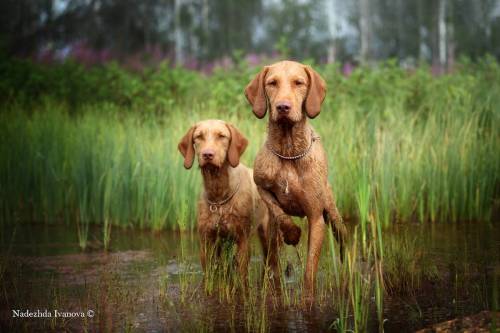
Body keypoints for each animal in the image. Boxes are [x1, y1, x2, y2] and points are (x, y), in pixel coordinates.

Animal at [179, 120, 276, 286]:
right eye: (199, 137)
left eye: (222, 136)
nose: (207, 154)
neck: (218, 194)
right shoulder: (207, 241)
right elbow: (209, 277)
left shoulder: (242, 240)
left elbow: (242, 276)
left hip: (269, 234)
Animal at [244, 61, 346, 296]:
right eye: (272, 83)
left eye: (299, 83)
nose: (283, 107)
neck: (289, 151)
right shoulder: (261, 185)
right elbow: (277, 209)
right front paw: (292, 233)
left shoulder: (316, 217)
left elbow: (310, 269)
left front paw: (307, 298)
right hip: (269, 234)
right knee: (272, 259)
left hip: (334, 215)